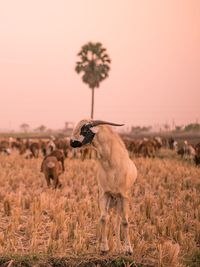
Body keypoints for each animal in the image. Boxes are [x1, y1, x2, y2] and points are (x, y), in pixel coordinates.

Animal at [70, 120, 138, 255]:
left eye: (85, 130)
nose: (72, 142)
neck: (111, 165)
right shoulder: (104, 194)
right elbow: (103, 219)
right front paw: (104, 248)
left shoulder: (124, 196)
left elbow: (125, 222)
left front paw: (128, 249)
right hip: (113, 200)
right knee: (115, 222)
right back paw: (117, 248)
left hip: (120, 201)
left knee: (118, 221)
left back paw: (120, 248)